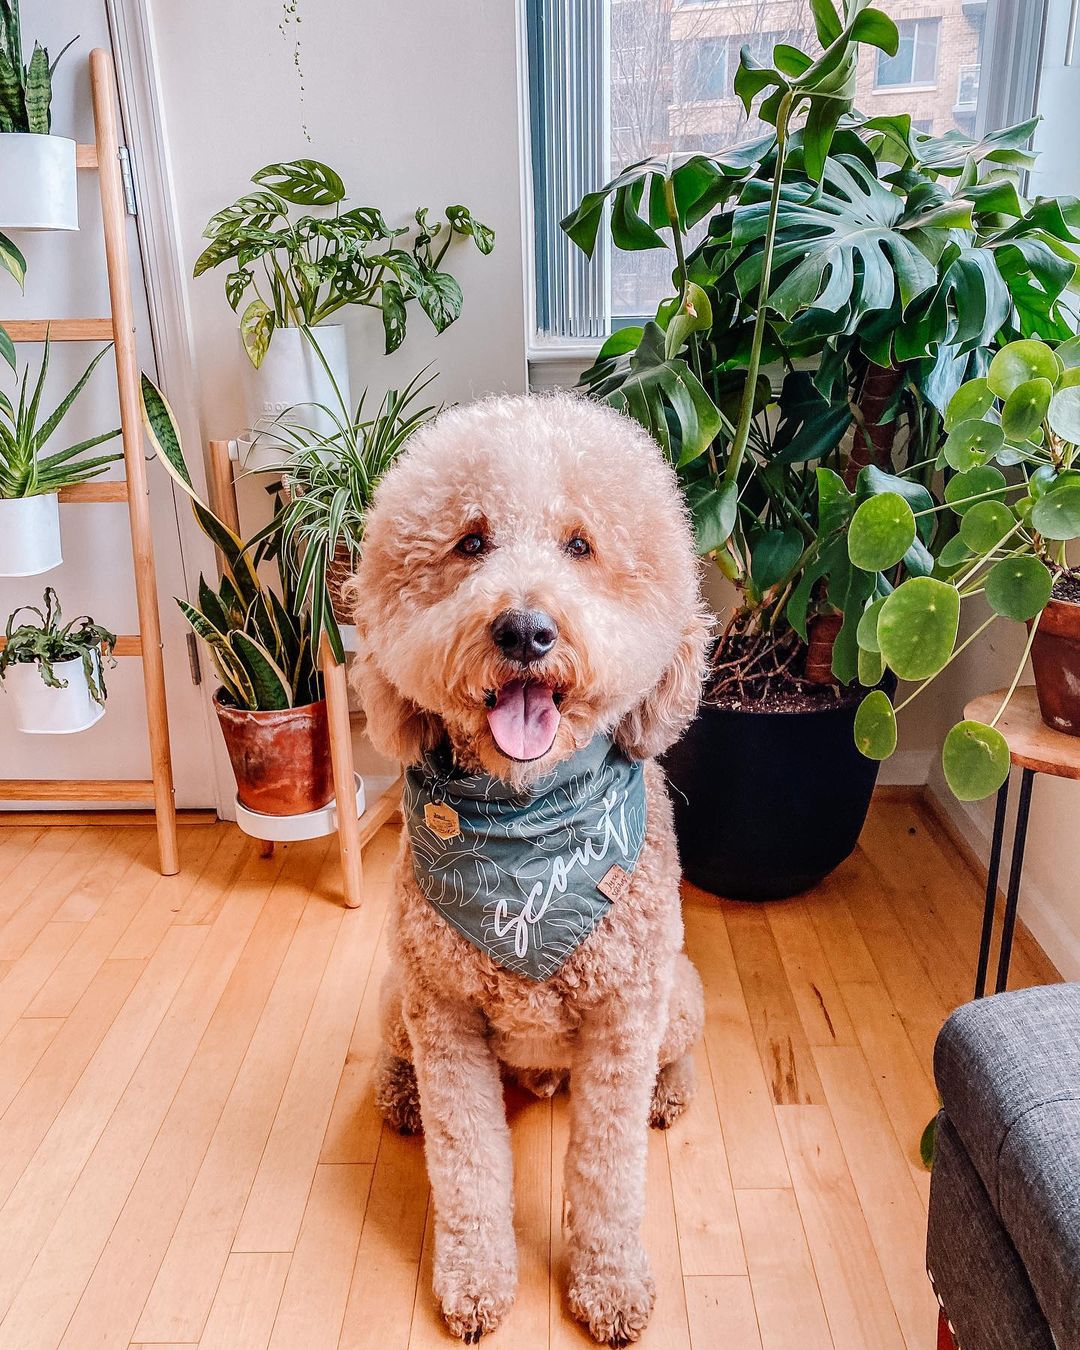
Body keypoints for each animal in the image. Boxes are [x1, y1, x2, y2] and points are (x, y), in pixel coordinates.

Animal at [350, 391, 710, 1345]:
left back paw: (669, 1094)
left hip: (677, 999)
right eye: (470, 541)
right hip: (397, 1000)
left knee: (676, 1056)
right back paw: (398, 1097)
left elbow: (609, 1173)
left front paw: (609, 1282)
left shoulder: (625, 1018)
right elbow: (468, 1165)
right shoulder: (443, 1018)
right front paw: (475, 1280)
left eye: (581, 545)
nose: (523, 628)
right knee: (398, 1063)